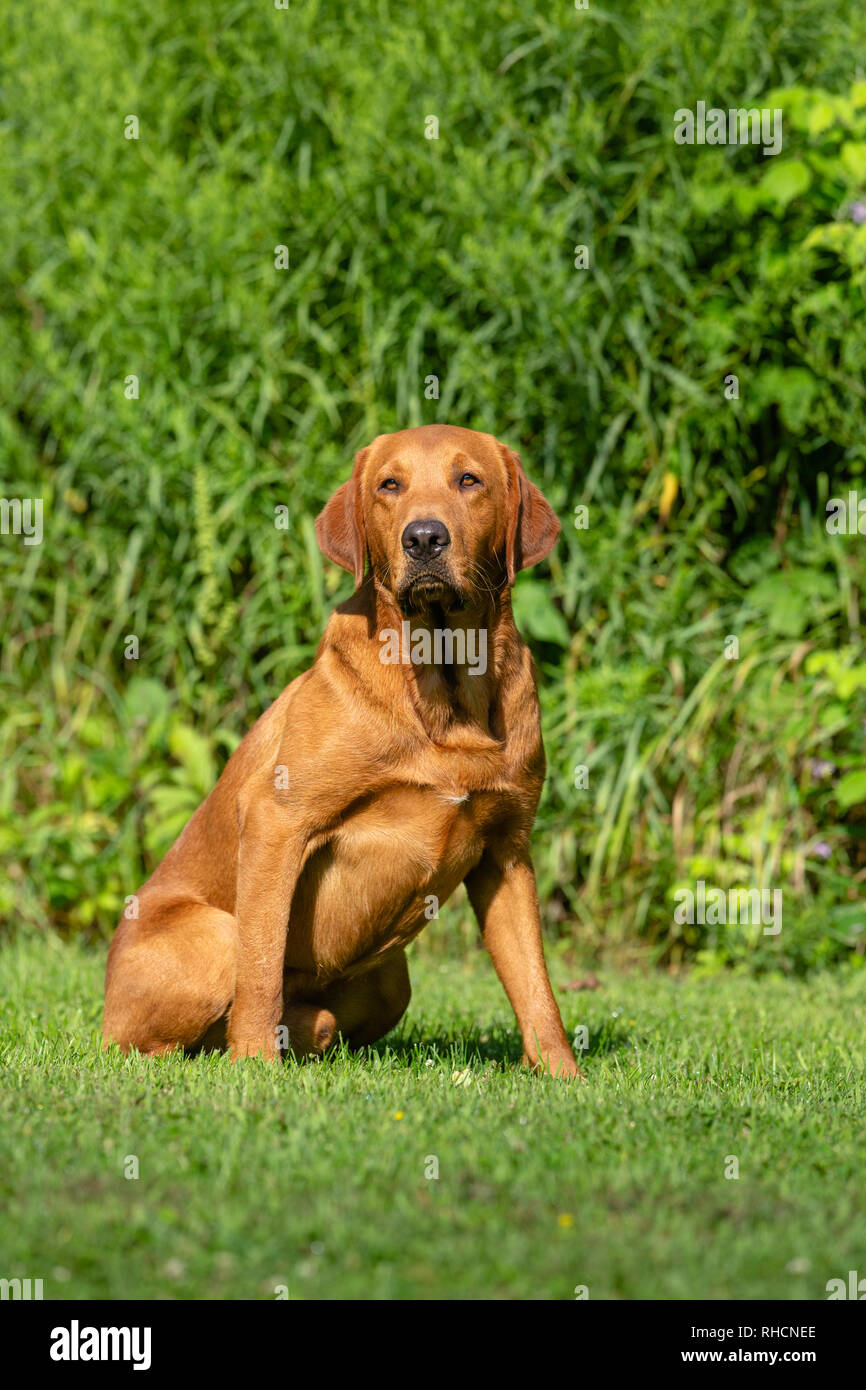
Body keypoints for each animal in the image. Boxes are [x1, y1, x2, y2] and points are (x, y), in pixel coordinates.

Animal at [103, 422, 583, 1073]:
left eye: (469, 480)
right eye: (389, 485)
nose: (424, 537)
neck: (442, 695)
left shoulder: (506, 852)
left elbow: (536, 986)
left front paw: (564, 1075)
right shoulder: (276, 820)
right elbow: (261, 971)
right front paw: (254, 1065)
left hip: (391, 982)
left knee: (321, 1020)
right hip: (214, 938)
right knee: (159, 1041)